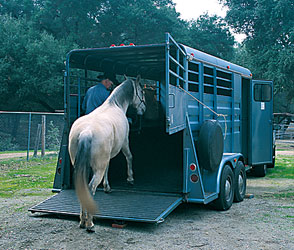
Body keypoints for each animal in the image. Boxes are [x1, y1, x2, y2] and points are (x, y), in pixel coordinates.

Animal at [68, 75, 146, 231]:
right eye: (141, 90)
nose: (144, 108)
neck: (115, 104)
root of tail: (86, 132)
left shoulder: (107, 158)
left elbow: (108, 168)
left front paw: (107, 187)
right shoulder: (125, 142)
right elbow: (129, 157)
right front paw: (130, 179)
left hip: (81, 166)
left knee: (83, 188)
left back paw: (82, 221)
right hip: (97, 168)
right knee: (90, 187)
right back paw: (89, 223)